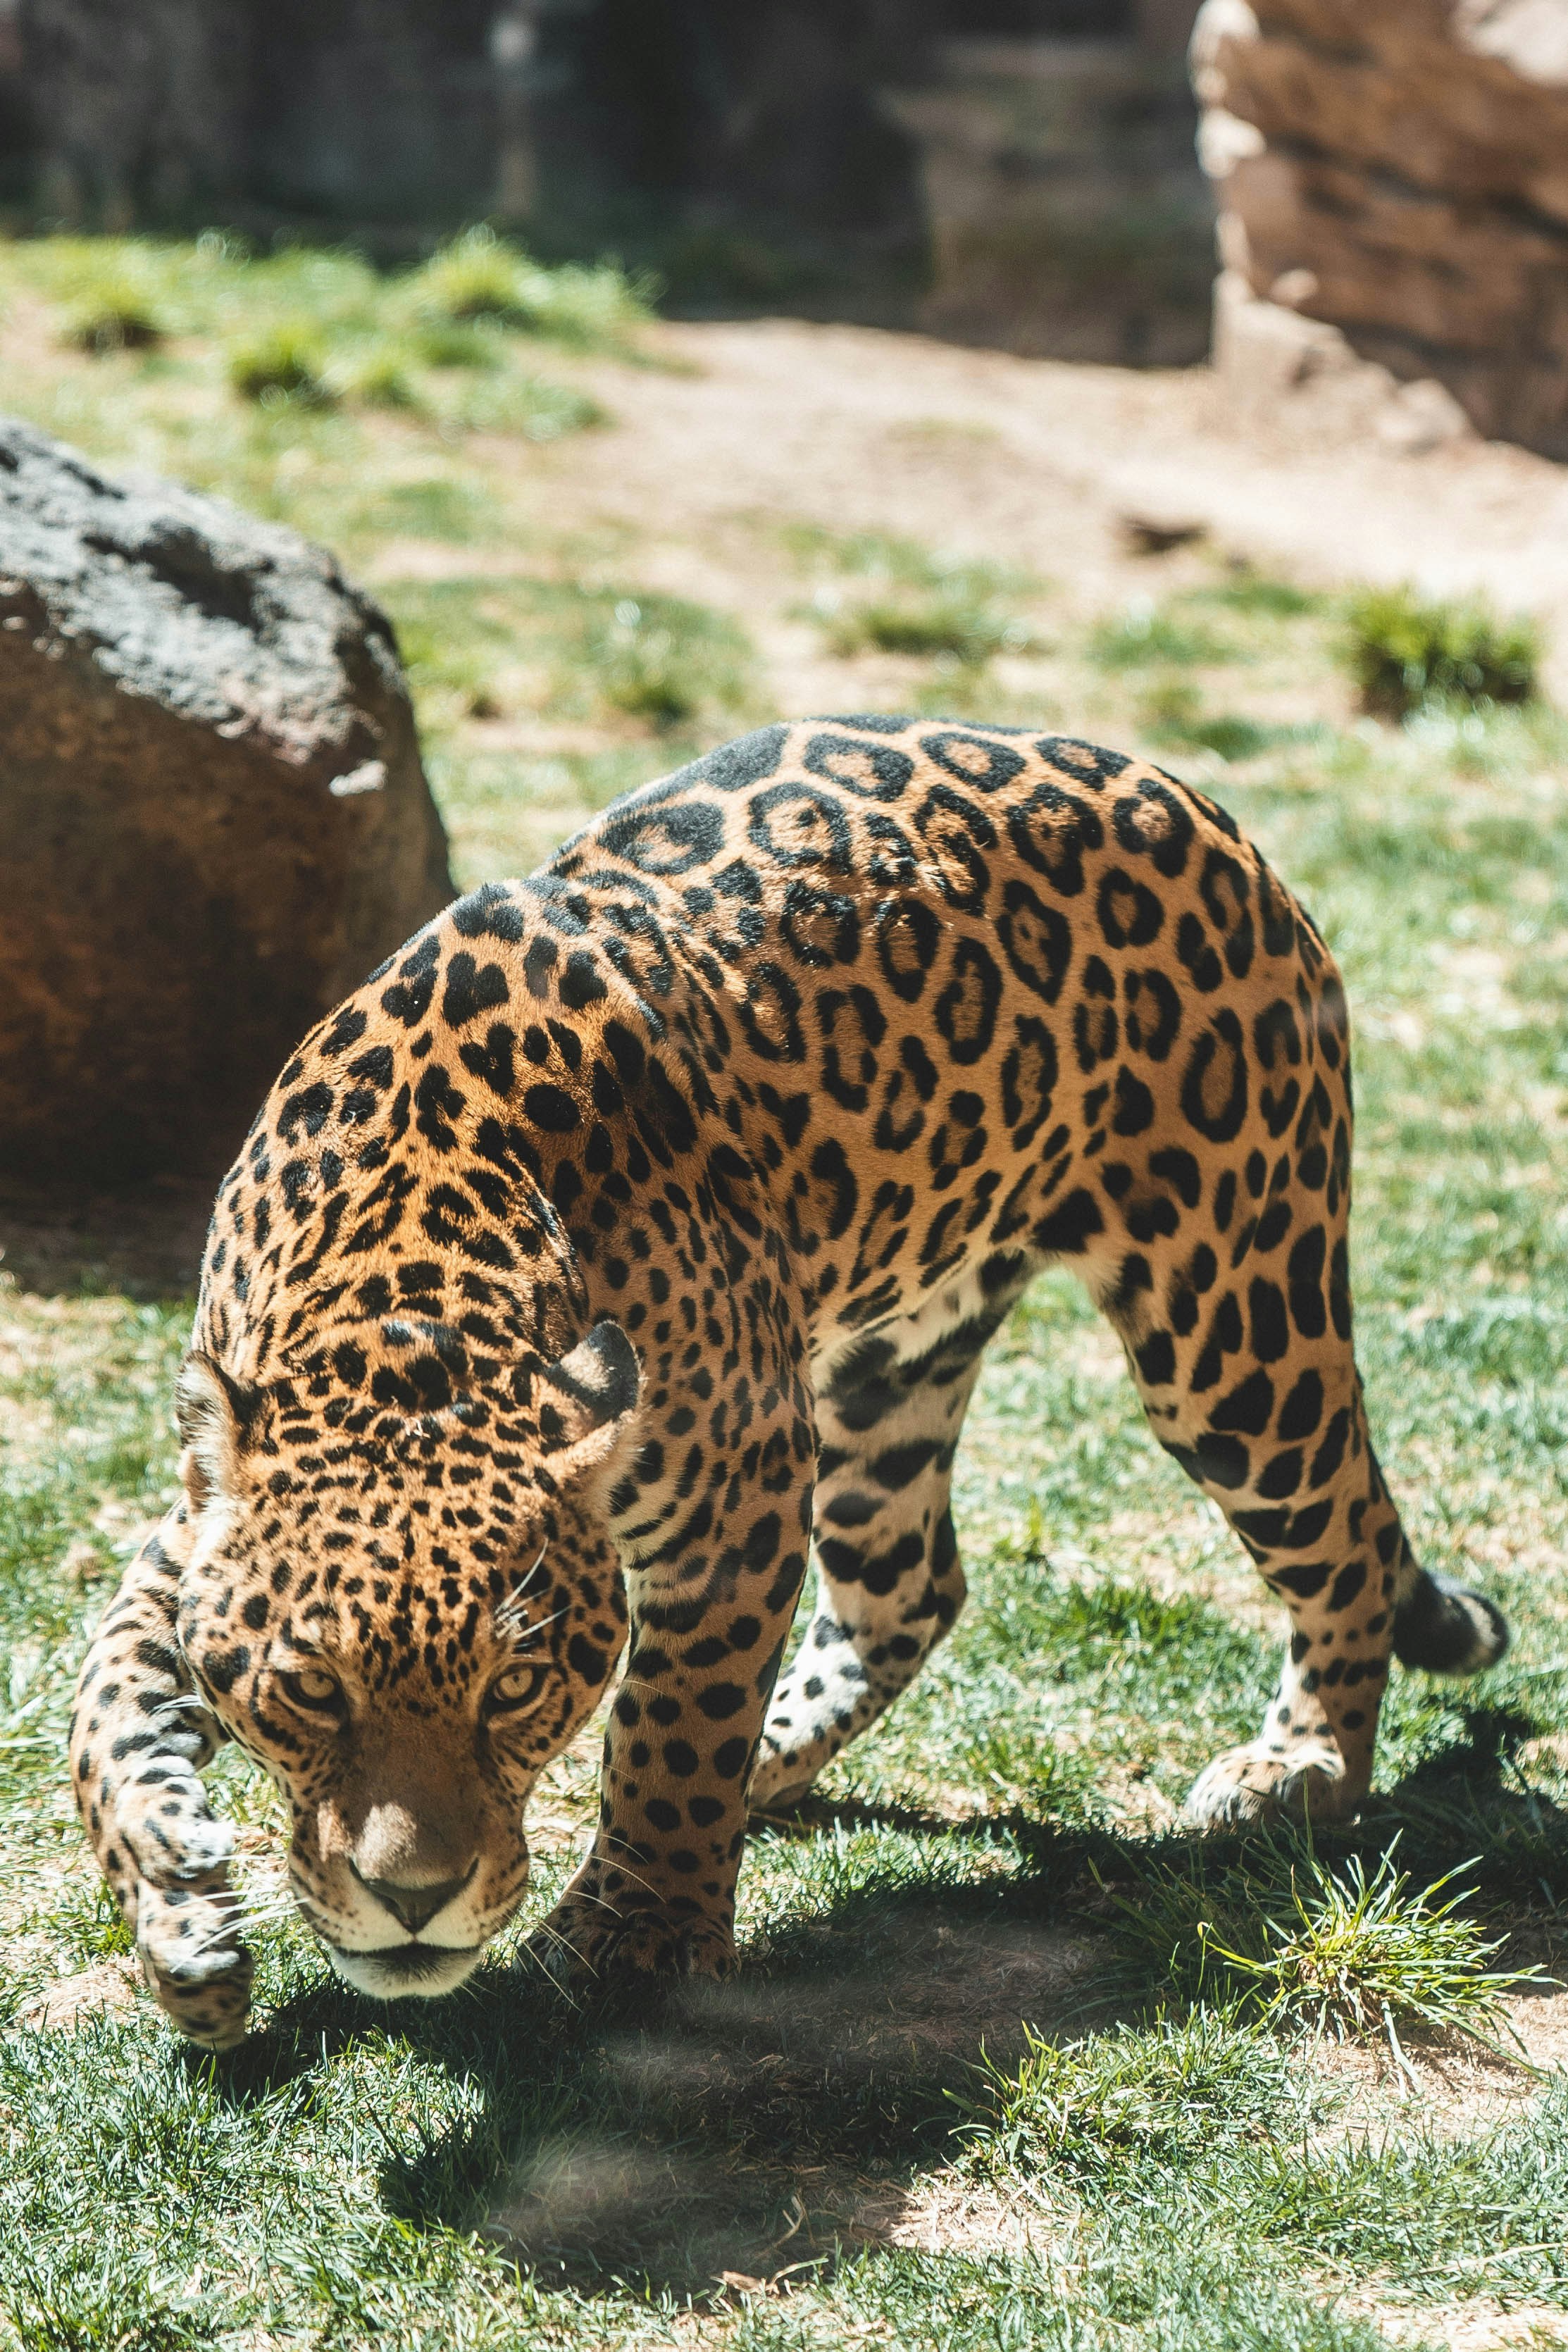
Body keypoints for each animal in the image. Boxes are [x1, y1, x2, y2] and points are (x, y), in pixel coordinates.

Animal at [69, 717, 1509, 2048]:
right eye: (310, 1690)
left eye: (513, 1688)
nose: (412, 1899)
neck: (404, 1307)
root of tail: (1189, 798)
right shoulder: (191, 1522)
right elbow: (106, 1706)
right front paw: (180, 1915)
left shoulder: (739, 1490)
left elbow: (675, 1717)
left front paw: (636, 1928)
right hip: (892, 1365)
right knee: (909, 1585)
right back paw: (773, 1763)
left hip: (1231, 1315)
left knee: (1347, 1529)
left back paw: (1301, 1764)